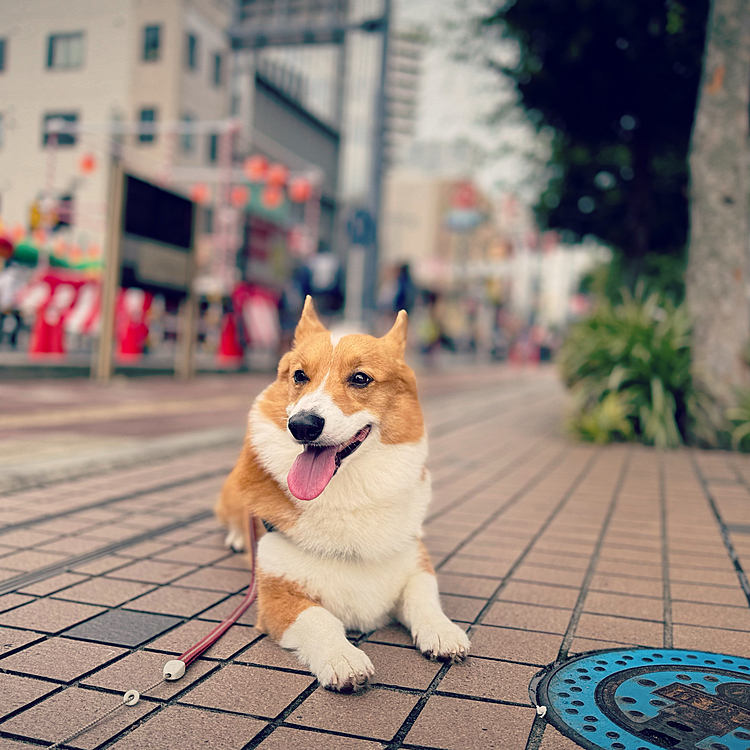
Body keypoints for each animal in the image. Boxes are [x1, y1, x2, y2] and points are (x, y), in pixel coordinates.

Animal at [214, 298, 470, 692]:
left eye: (360, 378)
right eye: (299, 376)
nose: (302, 425)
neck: (347, 493)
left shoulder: (415, 562)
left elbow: (424, 597)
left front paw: (443, 632)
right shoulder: (277, 597)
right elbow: (320, 618)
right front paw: (343, 658)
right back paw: (238, 539)